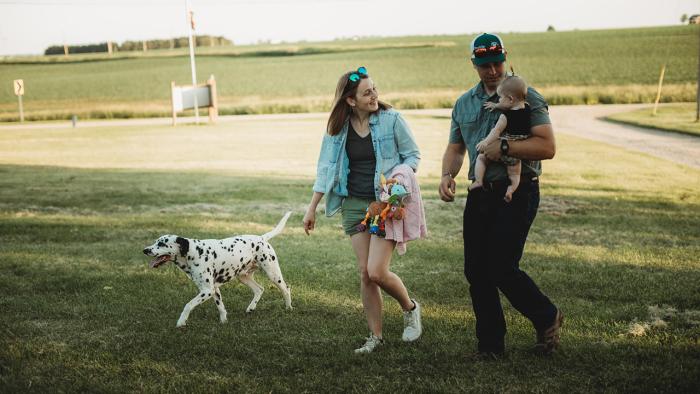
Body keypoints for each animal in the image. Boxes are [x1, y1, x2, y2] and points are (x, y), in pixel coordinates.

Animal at [144, 212, 292, 326]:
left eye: (162, 243)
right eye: (156, 241)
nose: (145, 250)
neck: (194, 252)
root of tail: (262, 238)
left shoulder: (207, 290)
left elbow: (188, 305)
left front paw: (181, 322)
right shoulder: (214, 289)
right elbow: (221, 307)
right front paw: (224, 321)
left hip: (273, 274)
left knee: (286, 289)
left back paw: (288, 307)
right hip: (243, 277)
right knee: (259, 289)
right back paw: (251, 308)